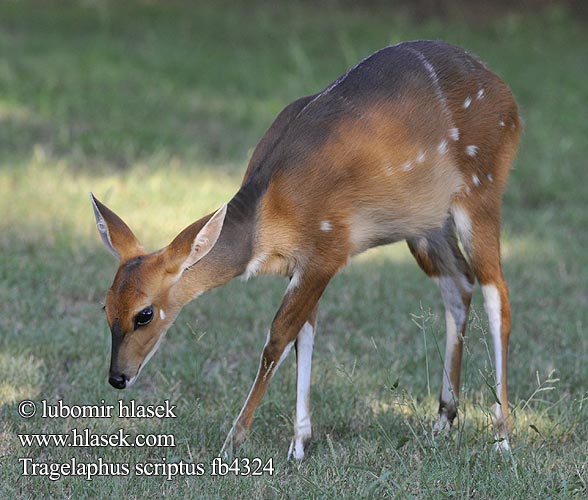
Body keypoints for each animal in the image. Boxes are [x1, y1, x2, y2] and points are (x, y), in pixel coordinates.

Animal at [90, 41, 520, 458]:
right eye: (106, 306)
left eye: (144, 314)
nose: (117, 377)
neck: (268, 215)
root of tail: (509, 99)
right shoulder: (304, 265)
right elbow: (304, 337)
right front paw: (299, 444)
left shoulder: (326, 252)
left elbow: (277, 339)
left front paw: (232, 443)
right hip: (426, 225)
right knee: (459, 283)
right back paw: (443, 419)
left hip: (480, 189)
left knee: (496, 290)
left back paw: (501, 437)